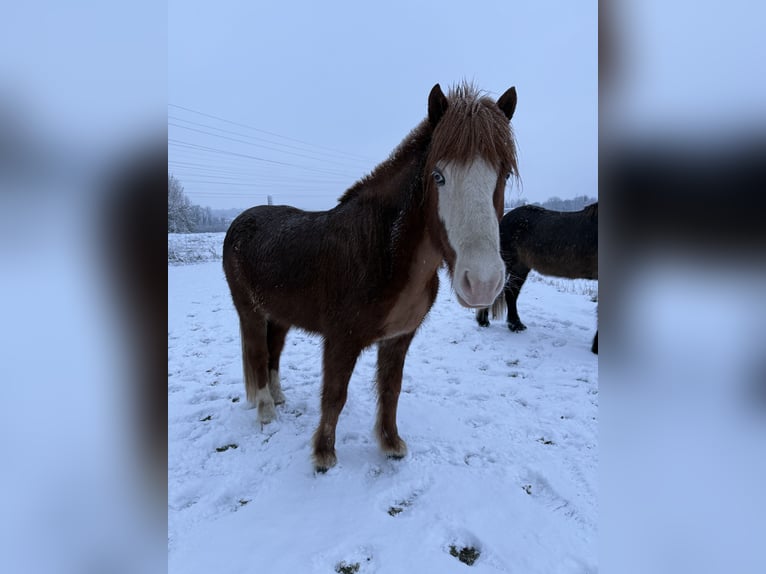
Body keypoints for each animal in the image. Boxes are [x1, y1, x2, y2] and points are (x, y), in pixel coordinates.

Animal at [223, 83, 519, 471]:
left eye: (503, 175)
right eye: (438, 175)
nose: (482, 282)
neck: (383, 251)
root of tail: (240, 222)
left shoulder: (399, 338)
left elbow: (391, 389)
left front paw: (391, 444)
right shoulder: (340, 340)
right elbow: (335, 395)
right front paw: (324, 455)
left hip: (281, 315)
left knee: (273, 352)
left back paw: (278, 397)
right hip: (250, 312)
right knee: (258, 354)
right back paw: (266, 411)